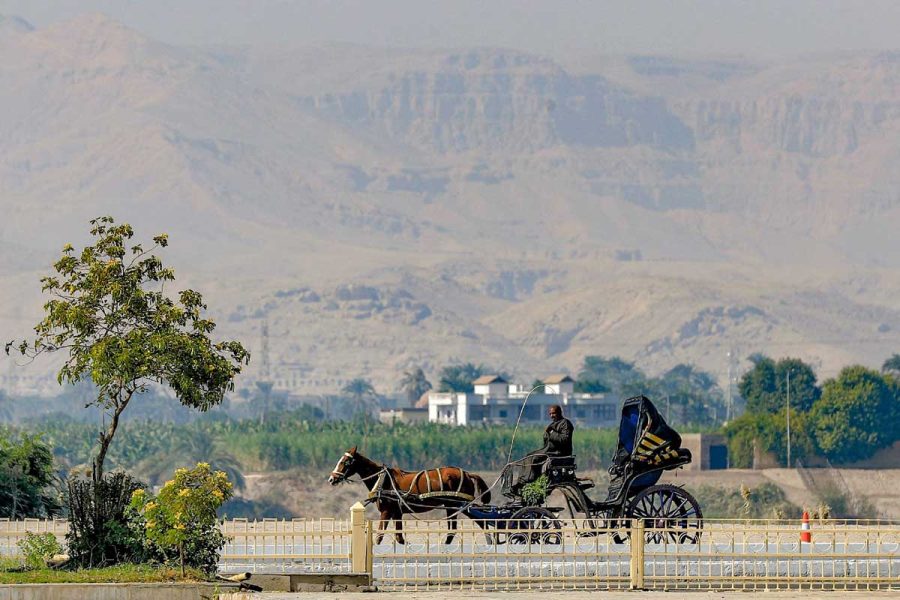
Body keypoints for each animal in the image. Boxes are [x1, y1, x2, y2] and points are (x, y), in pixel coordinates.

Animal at [326, 446, 488, 544]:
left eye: (345, 462)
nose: (331, 479)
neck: (383, 480)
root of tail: (467, 473)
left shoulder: (386, 511)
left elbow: (379, 536)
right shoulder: (397, 512)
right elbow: (399, 537)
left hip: (456, 504)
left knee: (464, 526)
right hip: (453, 506)